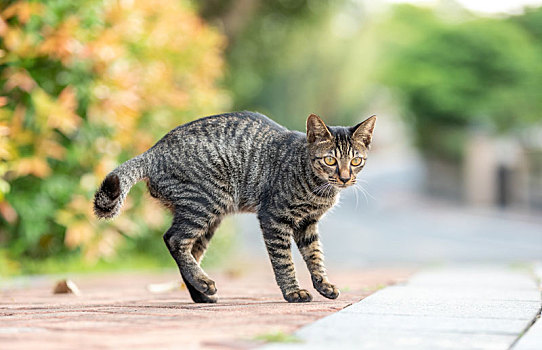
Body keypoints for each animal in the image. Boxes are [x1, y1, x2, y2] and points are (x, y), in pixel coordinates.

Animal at [93, 112, 376, 304]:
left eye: (356, 161)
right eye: (329, 160)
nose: (345, 177)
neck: (318, 188)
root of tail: (153, 150)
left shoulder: (307, 224)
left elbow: (315, 256)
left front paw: (323, 285)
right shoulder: (275, 218)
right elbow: (284, 261)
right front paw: (293, 291)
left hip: (209, 217)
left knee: (190, 250)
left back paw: (201, 291)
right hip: (206, 202)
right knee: (173, 239)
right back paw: (203, 283)